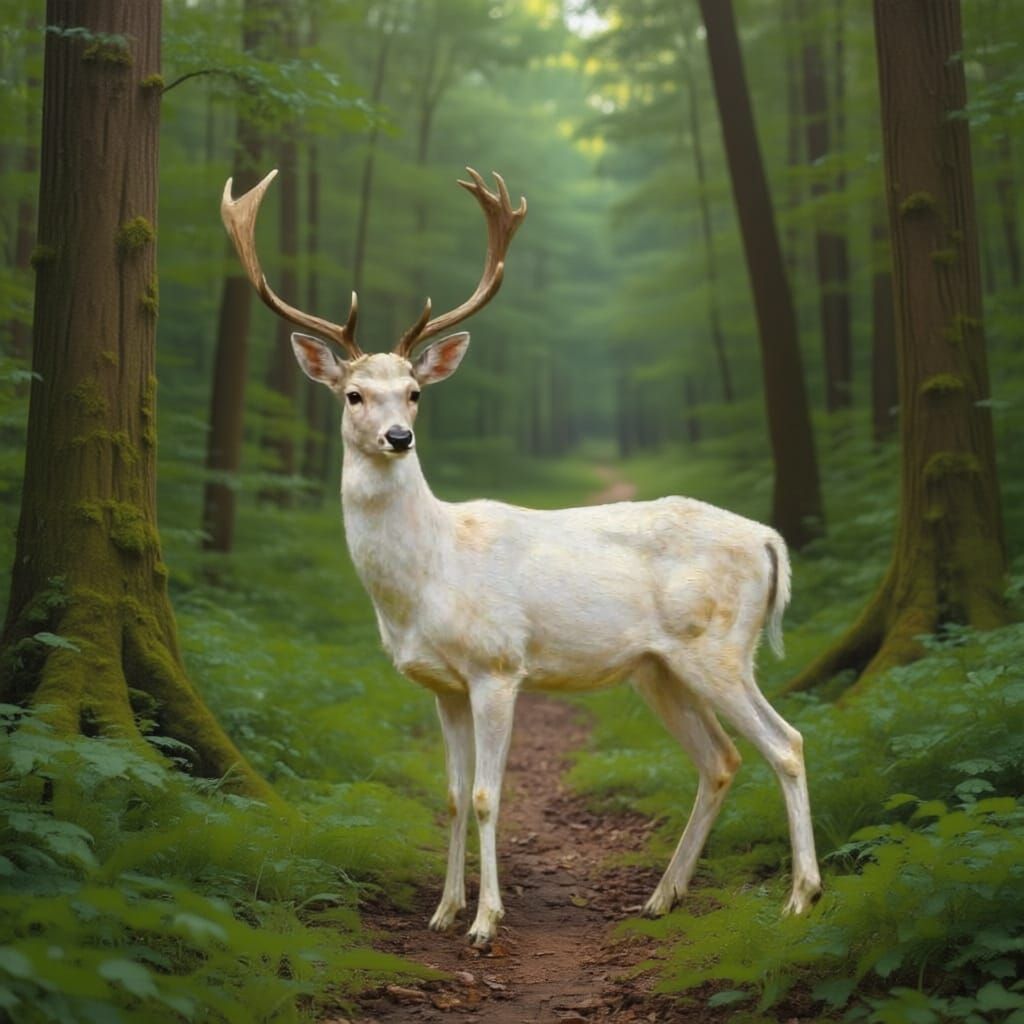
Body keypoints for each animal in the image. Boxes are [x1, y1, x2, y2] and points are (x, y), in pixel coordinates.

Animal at [220, 167, 822, 948]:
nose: (397, 437)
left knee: (787, 742)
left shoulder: (498, 665)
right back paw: (663, 896)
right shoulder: (440, 684)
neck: (423, 582)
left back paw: (800, 897)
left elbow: (486, 794)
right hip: (659, 668)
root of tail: (768, 539)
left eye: (415, 393)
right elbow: (450, 795)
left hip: (718, 646)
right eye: (352, 394)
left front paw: (486, 922)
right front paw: (444, 910)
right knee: (720, 759)